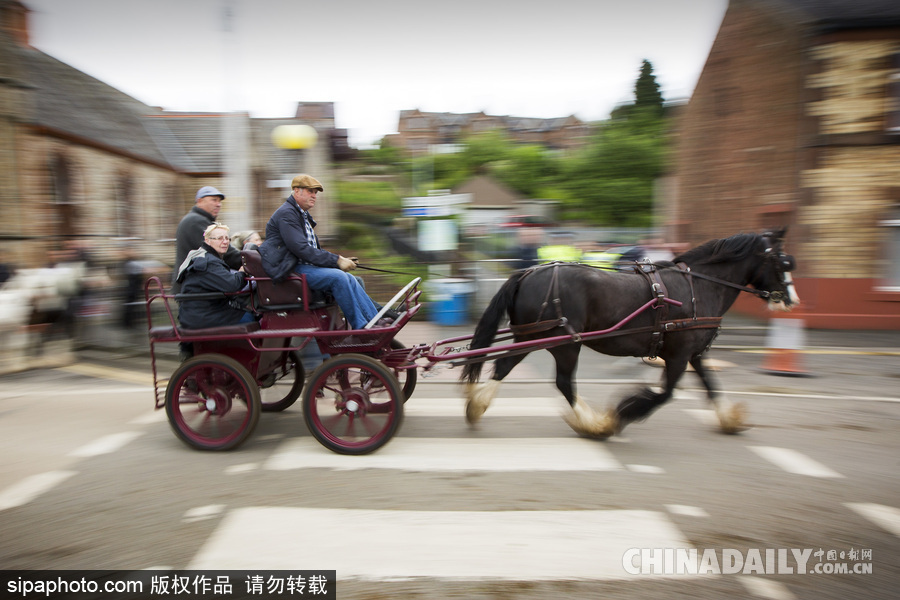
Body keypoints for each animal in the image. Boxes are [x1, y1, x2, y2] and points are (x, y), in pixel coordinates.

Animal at [460, 227, 800, 438]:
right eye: (783, 262)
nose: (792, 300)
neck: (700, 286)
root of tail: (527, 272)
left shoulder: (694, 354)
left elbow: (711, 386)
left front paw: (729, 419)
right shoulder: (678, 355)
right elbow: (665, 394)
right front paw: (624, 412)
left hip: (531, 337)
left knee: (504, 367)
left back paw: (477, 407)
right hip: (564, 343)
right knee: (563, 382)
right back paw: (594, 424)